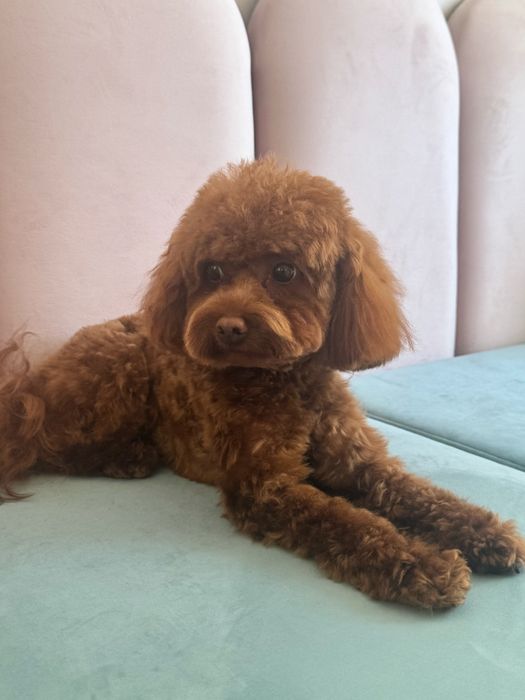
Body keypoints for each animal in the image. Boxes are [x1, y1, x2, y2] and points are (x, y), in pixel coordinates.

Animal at [1, 157, 523, 608]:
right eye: (212, 271)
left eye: (285, 271)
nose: (228, 326)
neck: (290, 385)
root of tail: (32, 383)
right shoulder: (264, 486)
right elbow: (345, 520)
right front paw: (420, 564)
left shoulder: (359, 464)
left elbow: (422, 495)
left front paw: (487, 532)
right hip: (120, 368)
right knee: (53, 445)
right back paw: (127, 456)